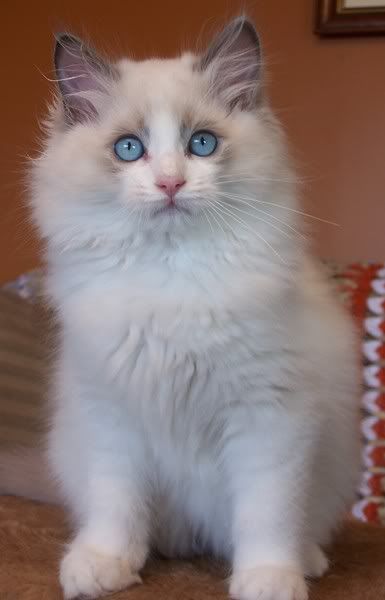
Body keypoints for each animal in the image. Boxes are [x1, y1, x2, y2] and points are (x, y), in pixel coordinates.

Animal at [3, 16, 360, 600]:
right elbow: (116, 504)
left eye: (202, 144)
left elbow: (267, 513)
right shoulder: (112, 415)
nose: (171, 182)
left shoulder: (268, 416)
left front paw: (267, 578)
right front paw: (104, 564)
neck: (171, 278)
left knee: (294, 524)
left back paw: (305, 562)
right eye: (129, 149)